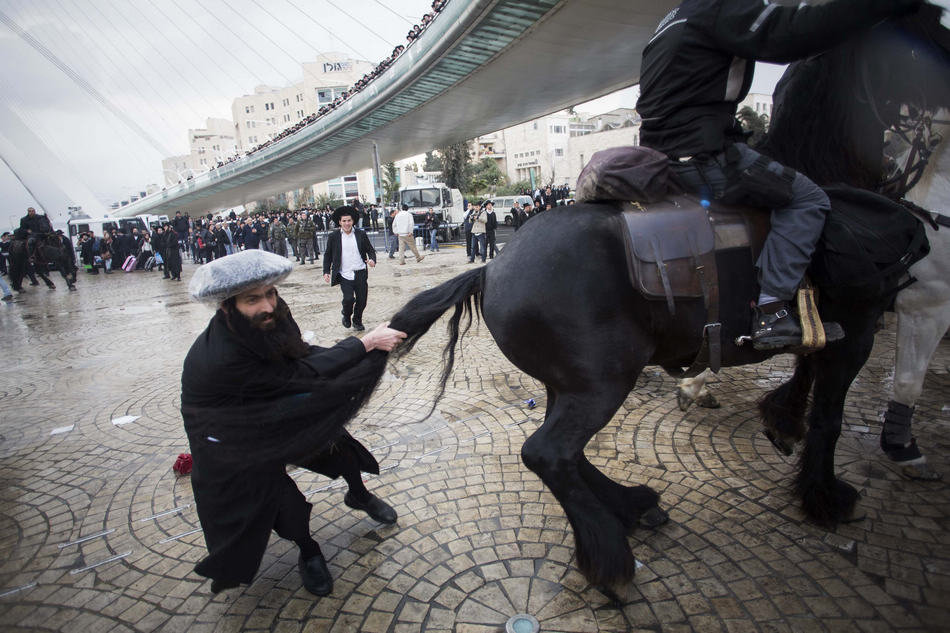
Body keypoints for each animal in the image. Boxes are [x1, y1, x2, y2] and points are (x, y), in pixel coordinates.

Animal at [338, 4, 948, 592]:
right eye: (925, 41)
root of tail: (493, 265)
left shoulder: (830, 328)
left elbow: (807, 375)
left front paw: (782, 421)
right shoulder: (857, 330)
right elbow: (830, 416)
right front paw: (824, 493)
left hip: (572, 380)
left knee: (567, 452)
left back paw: (630, 505)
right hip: (604, 379)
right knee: (549, 453)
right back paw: (608, 552)